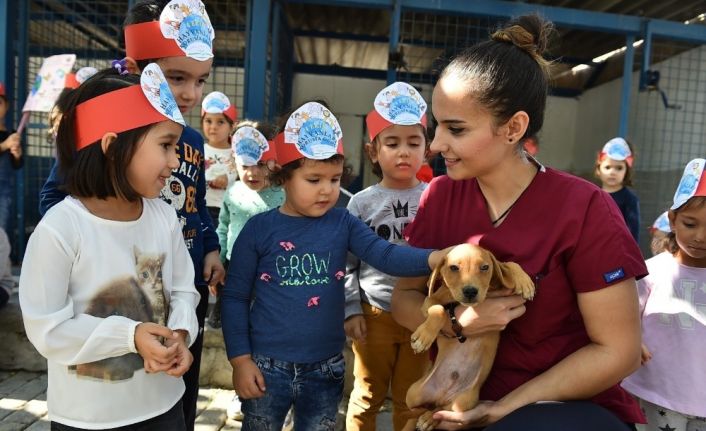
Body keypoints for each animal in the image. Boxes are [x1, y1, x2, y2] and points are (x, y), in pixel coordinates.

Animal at [402, 245, 532, 430]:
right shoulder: (428, 302)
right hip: (413, 392)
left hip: (464, 402)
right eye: (454, 268)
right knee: (418, 409)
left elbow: (508, 264)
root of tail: (442, 395)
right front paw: (423, 338)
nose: (470, 291)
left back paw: (429, 419)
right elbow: (439, 310)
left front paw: (524, 281)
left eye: (484, 267)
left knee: (440, 410)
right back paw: (422, 419)